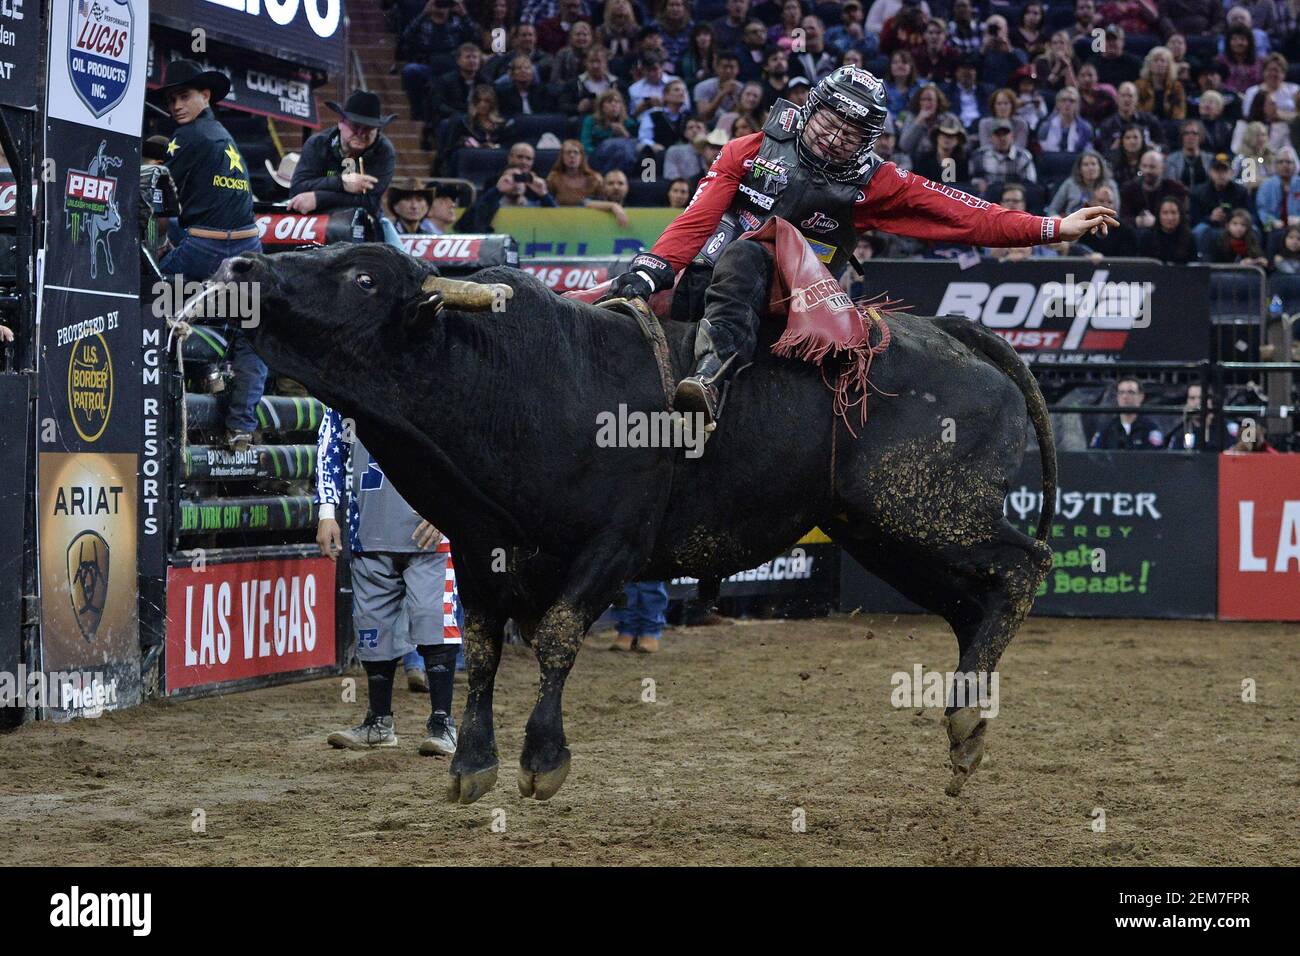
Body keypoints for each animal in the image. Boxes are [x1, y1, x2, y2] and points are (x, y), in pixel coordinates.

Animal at [223, 243, 1055, 806]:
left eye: (363, 278)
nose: (241, 263)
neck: (521, 376)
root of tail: (953, 332)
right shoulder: (480, 548)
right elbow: (484, 649)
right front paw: (472, 765)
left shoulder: (613, 549)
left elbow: (557, 635)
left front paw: (542, 760)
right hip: (881, 530)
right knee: (971, 604)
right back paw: (966, 724)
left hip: (924, 510)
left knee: (1021, 565)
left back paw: (966, 718)